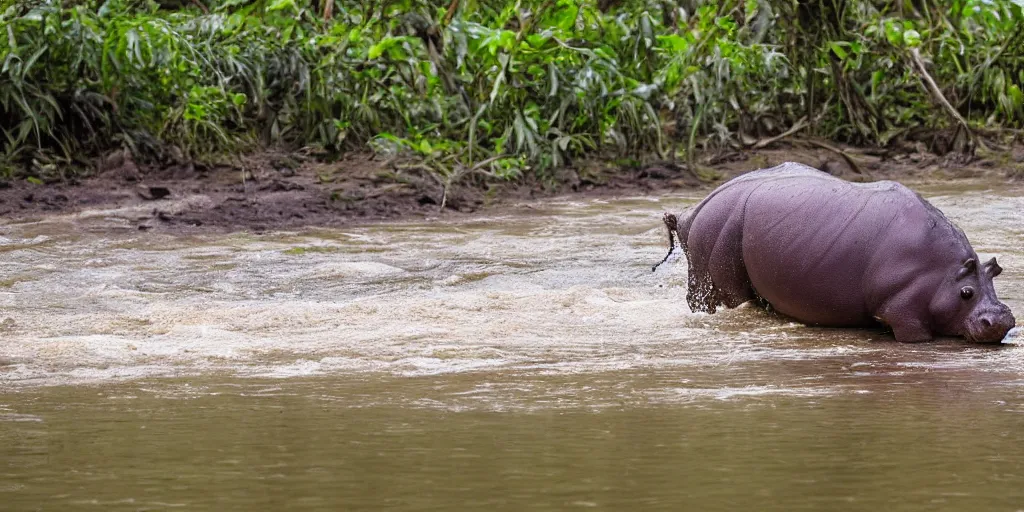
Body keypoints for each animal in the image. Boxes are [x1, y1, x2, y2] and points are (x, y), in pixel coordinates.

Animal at [655, 161, 1015, 342]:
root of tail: (690, 213)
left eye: (995, 280)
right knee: (721, 297)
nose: (1001, 321)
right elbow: (915, 335)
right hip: (717, 230)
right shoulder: (903, 308)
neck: (948, 273)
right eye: (966, 293)